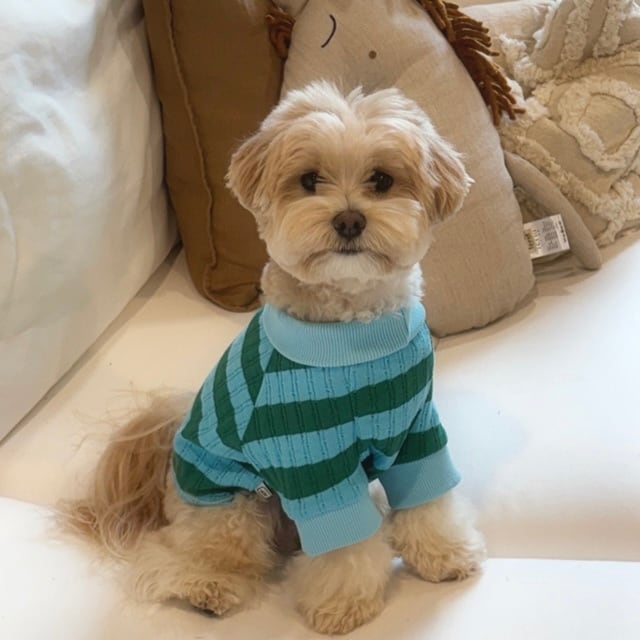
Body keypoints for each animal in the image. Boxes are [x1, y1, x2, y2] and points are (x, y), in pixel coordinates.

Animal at [62, 81, 486, 635]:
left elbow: (429, 499)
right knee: (183, 553)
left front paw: (444, 553)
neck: (355, 337)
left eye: (381, 179)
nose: (348, 219)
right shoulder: (311, 459)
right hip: (233, 504)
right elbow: (342, 541)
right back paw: (206, 586)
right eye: (309, 180)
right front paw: (345, 603)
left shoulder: (416, 431)